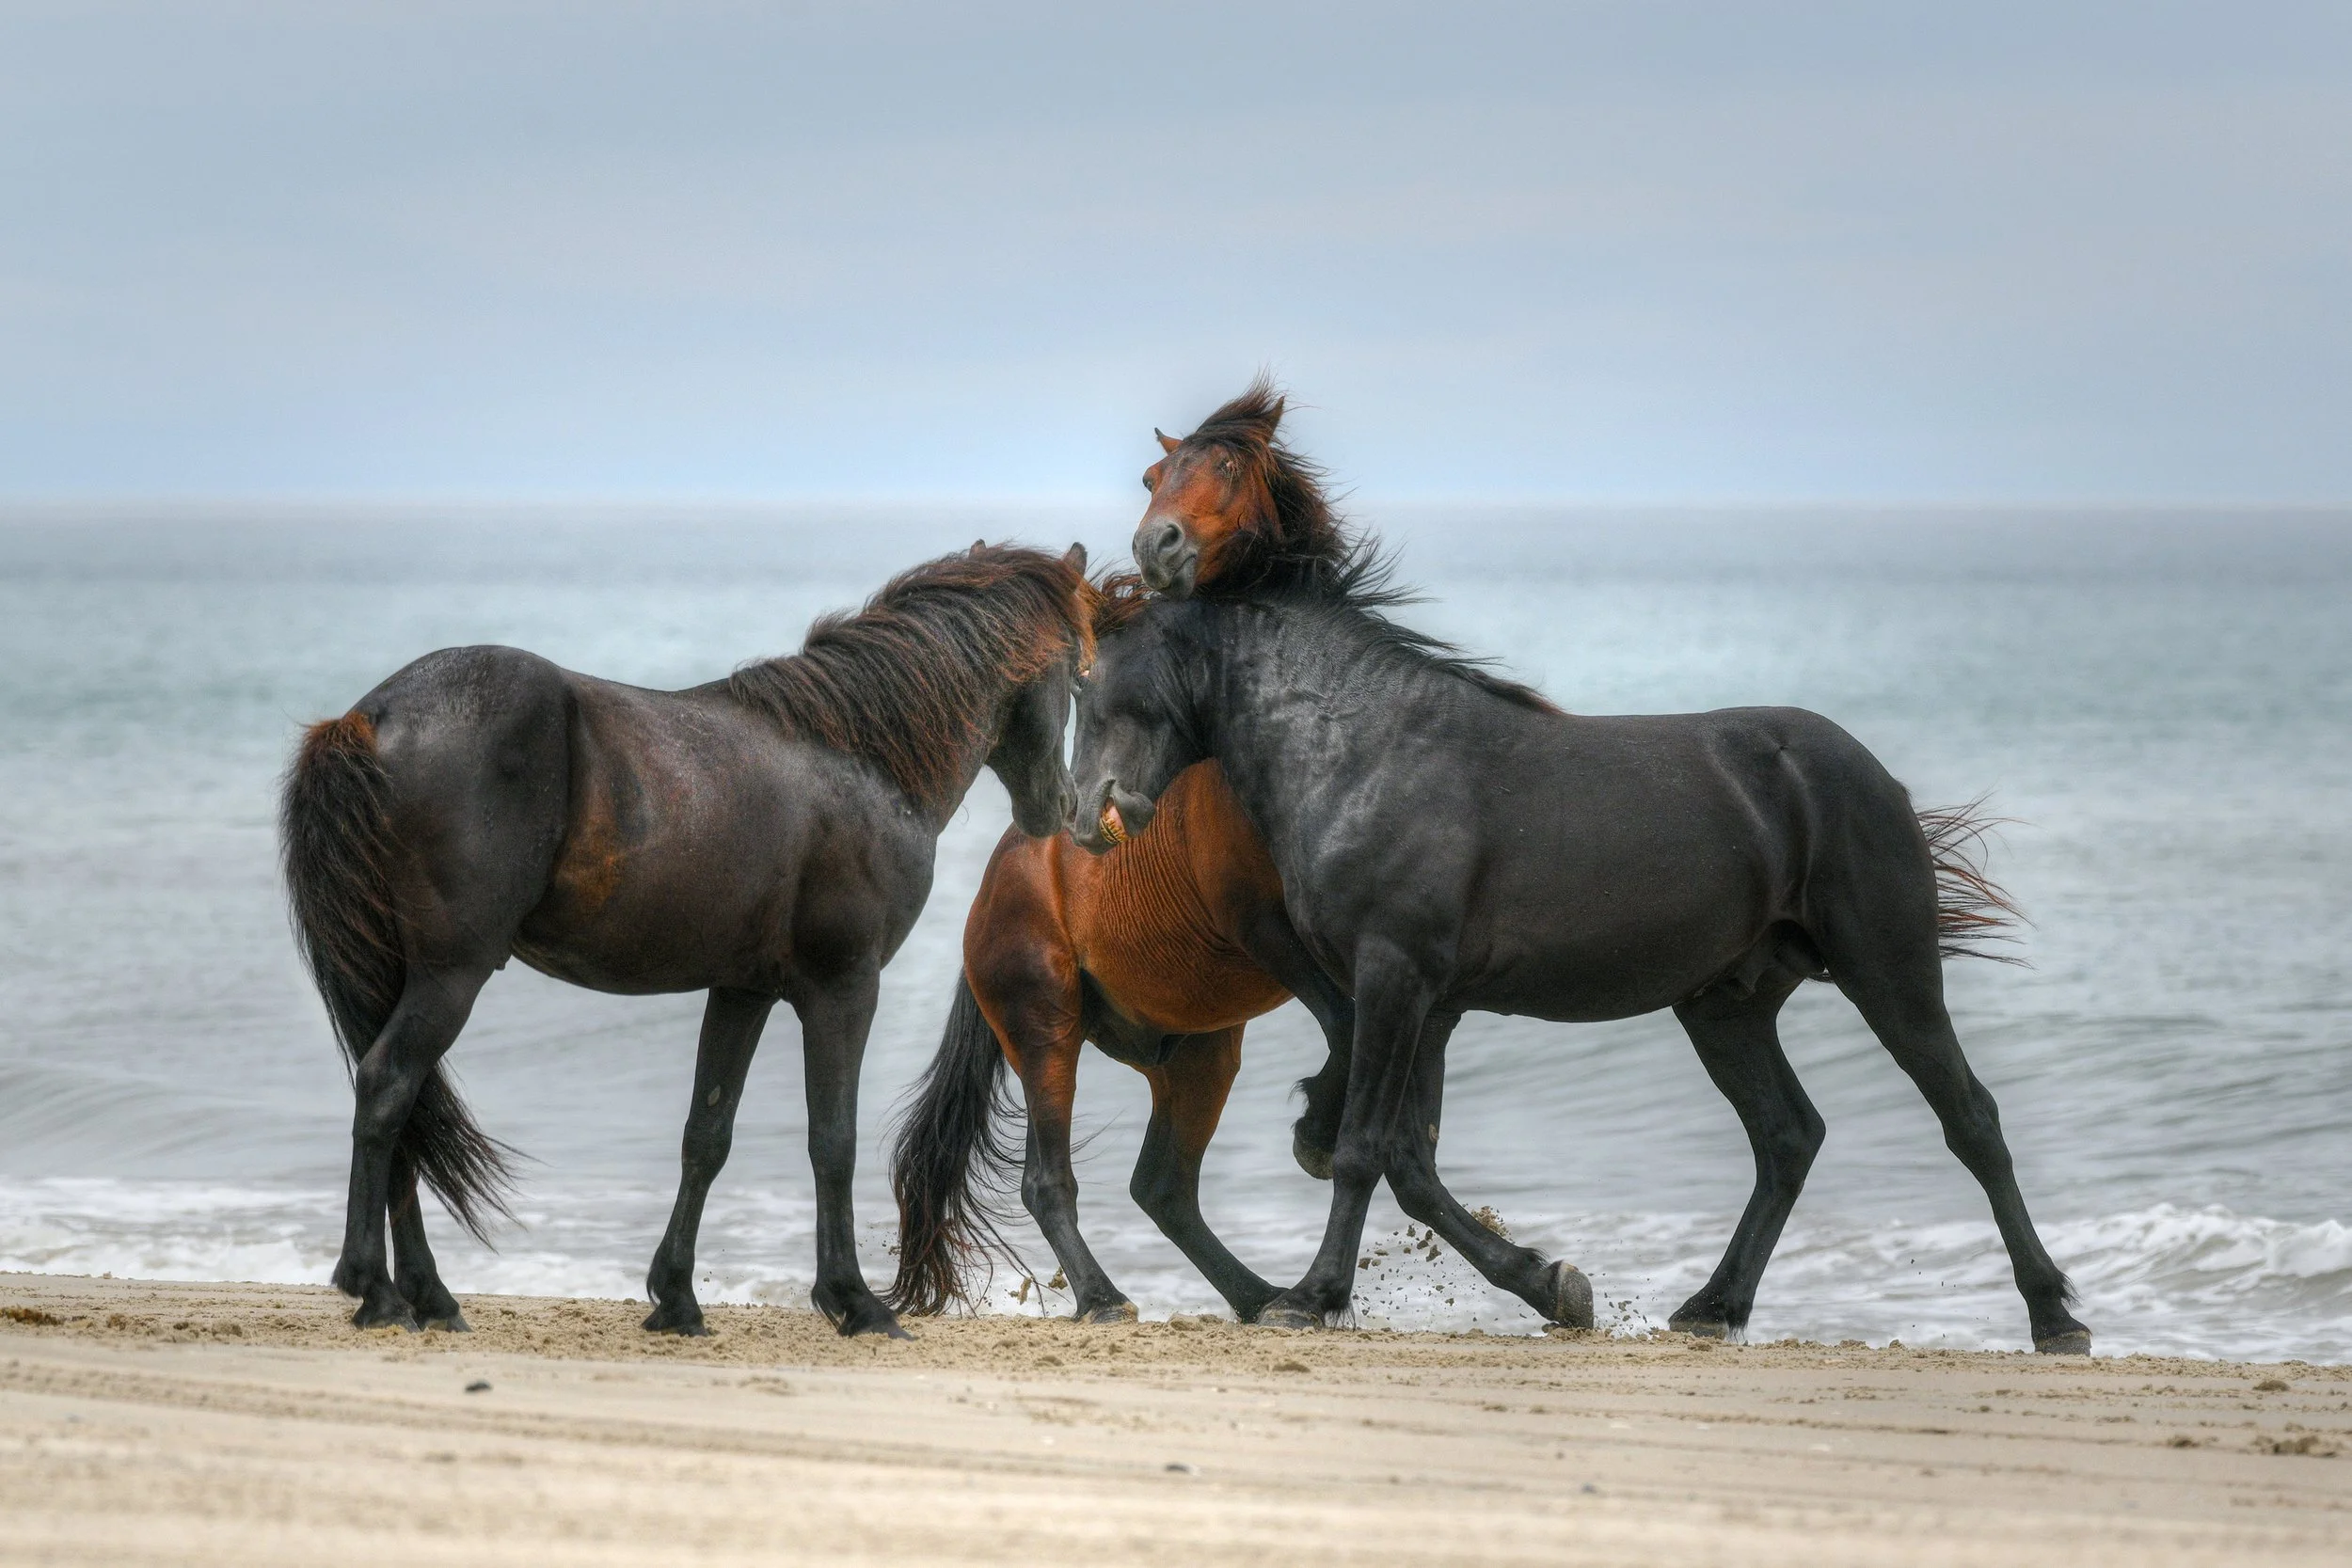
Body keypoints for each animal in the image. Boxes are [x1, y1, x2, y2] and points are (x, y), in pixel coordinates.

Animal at [279, 542, 1092, 1339]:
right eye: (1077, 674)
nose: (1064, 805)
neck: (858, 759)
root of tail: (375, 715)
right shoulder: (844, 986)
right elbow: (832, 1139)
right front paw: (855, 1300)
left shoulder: (743, 989)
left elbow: (707, 1134)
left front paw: (674, 1298)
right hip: (451, 974)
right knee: (388, 1086)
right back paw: (375, 1287)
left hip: (395, 974)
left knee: (406, 1109)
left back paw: (428, 1295)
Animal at [886, 383, 1366, 1325]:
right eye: (1151, 475)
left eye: (1231, 465)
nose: (1157, 546)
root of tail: (995, 885)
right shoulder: (1267, 927)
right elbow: (1342, 1026)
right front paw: (1318, 1137)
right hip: (1047, 1029)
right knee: (1049, 1181)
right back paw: (1106, 1297)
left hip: (1200, 1050)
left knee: (1163, 1187)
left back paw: (1260, 1295)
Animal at [1069, 548, 2093, 1354]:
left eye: (1087, 681)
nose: (1085, 817)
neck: (1362, 751)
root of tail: (1873, 776)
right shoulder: (1421, 1004)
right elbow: (1409, 1162)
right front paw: (1551, 1284)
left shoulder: (1394, 978)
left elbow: (1364, 1150)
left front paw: (1312, 1296)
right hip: (1726, 1005)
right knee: (1787, 1137)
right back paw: (1712, 1306)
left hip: (1889, 969)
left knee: (1970, 1119)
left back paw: (2055, 1315)